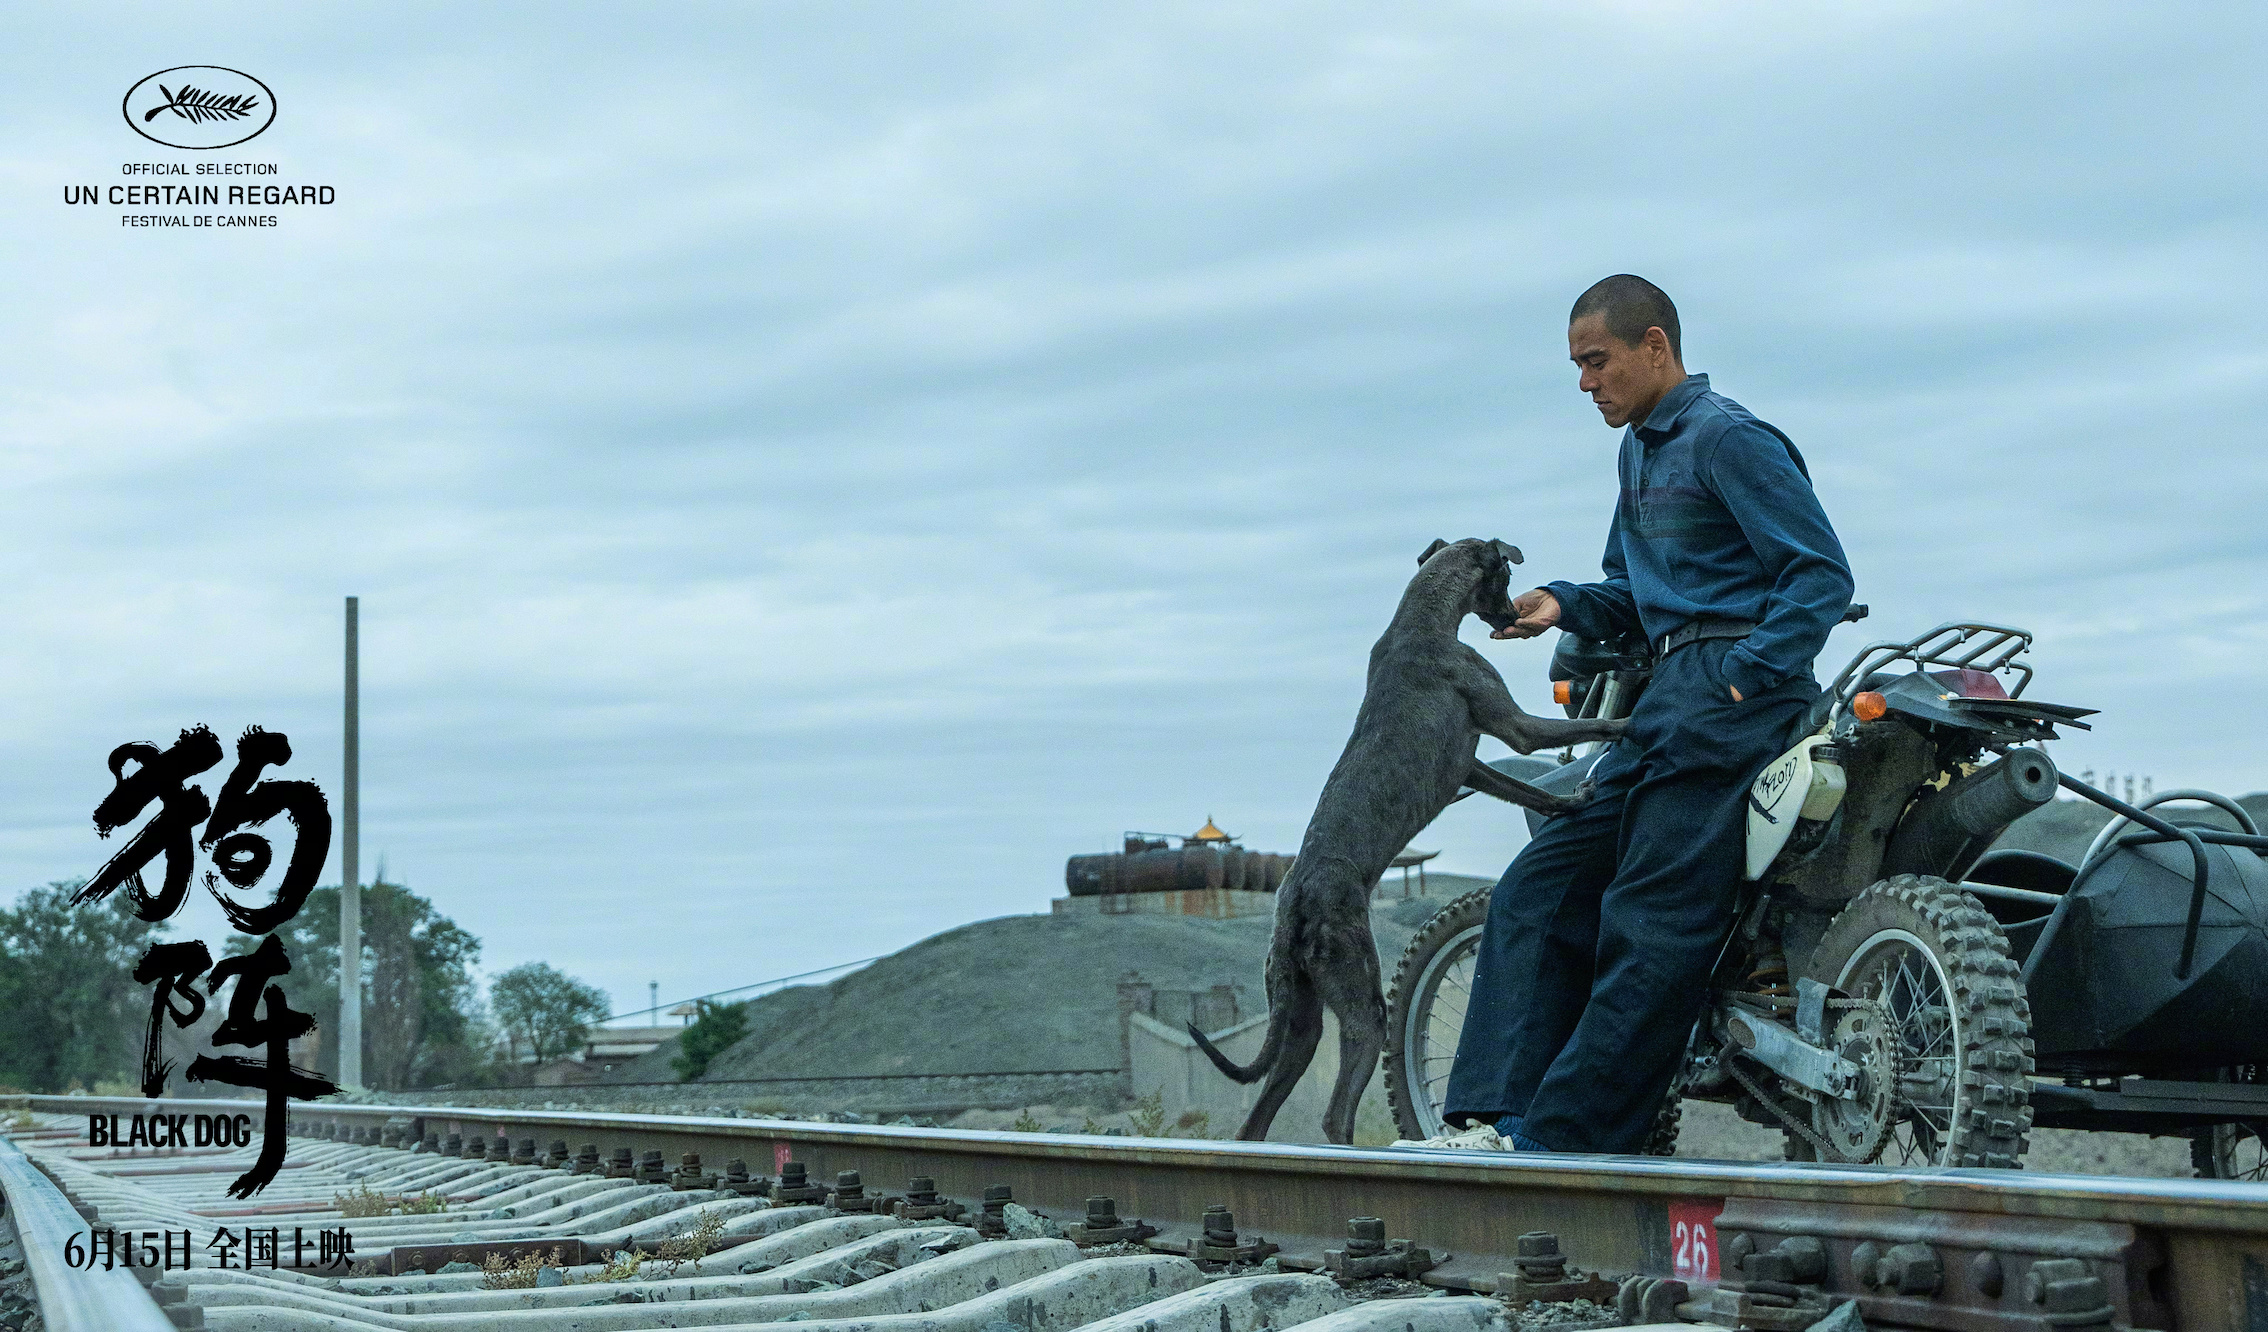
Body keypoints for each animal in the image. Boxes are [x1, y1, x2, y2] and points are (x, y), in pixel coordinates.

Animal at [1197, 537, 1623, 1143]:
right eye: (1504, 575)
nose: (1513, 616)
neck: (1420, 620)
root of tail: (1296, 903)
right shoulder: (1516, 725)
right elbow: (1593, 727)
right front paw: (1632, 727)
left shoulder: (1470, 766)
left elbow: (1532, 792)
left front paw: (1571, 801)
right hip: (1362, 1003)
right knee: (1335, 1113)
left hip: (1300, 1019)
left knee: (1255, 1123)